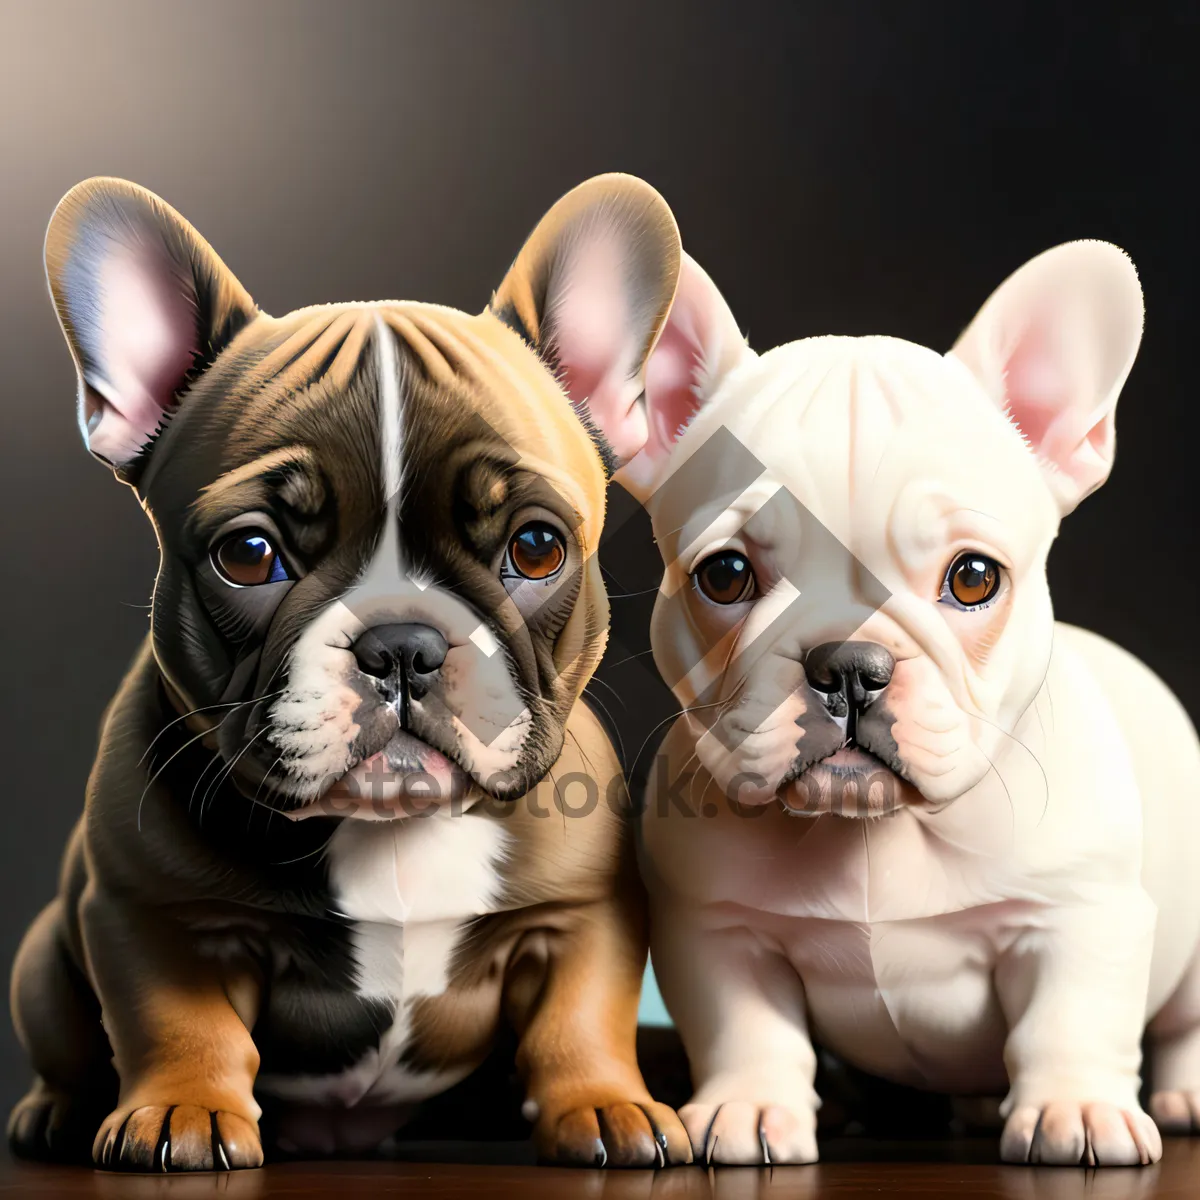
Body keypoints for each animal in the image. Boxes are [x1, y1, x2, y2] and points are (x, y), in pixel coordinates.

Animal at [11, 174, 696, 1166]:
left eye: (536, 547)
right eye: (249, 555)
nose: (402, 645)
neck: (393, 832)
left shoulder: (581, 916)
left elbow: (582, 1017)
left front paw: (607, 1105)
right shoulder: (156, 915)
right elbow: (177, 1022)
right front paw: (182, 1110)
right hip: (41, 965)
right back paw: (56, 1110)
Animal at [624, 248, 1200, 1166]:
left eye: (973, 578)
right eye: (725, 575)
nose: (849, 666)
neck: (872, 832)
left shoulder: (1079, 917)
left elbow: (1068, 1020)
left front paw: (1075, 1108)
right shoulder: (719, 932)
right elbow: (747, 1027)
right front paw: (750, 1106)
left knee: (1182, 1024)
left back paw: (1179, 1096)